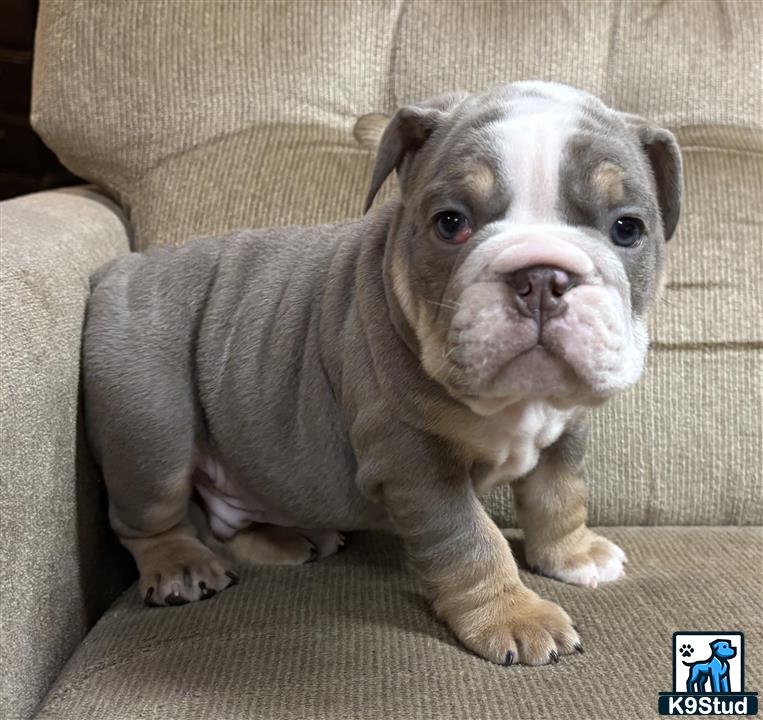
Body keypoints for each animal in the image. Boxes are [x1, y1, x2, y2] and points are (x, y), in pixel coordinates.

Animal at [82, 79, 680, 664]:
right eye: (450, 223)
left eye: (627, 229)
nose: (541, 277)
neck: (518, 403)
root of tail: (118, 270)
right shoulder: (413, 462)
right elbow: (470, 540)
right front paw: (513, 615)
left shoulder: (566, 430)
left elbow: (559, 495)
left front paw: (573, 554)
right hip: (152, 434)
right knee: (148, 519)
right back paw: (181, 564)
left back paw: (289, 540)